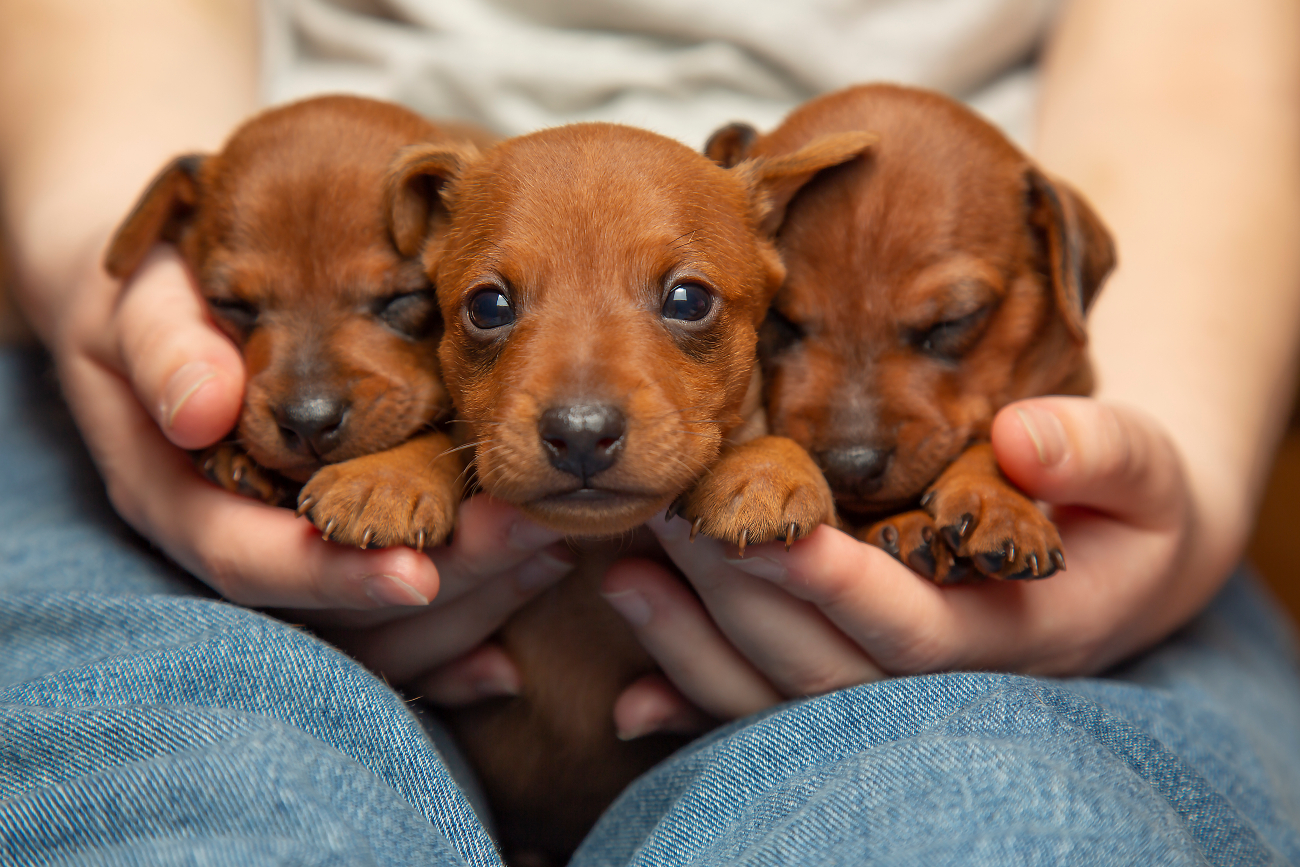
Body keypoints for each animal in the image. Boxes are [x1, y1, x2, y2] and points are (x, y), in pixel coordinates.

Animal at [707, 83, 1112, 582]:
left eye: (952, 321)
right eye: (778, 317)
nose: (851, 467)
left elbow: (995, 439)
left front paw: (1000, 503)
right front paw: (765, 469)